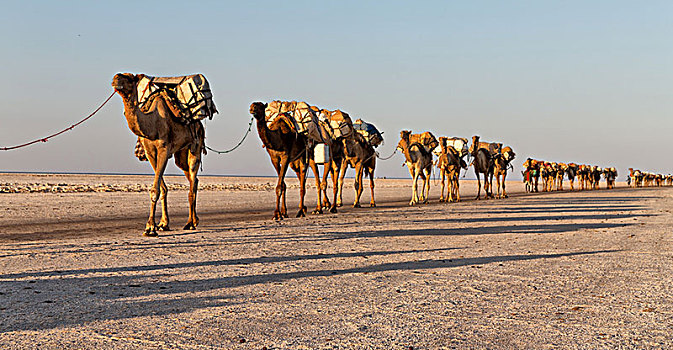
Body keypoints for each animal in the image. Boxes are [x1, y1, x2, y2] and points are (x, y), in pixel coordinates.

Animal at [111, 72, 205, 237]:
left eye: (130, 78)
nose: (116, 78)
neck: (152, 123)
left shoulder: (163, 149)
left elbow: (155, 189)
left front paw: (150, 228)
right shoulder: (150, 153)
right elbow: (162, 189)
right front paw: (162, 224)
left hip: (195, 146)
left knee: (192, 182)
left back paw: (190, 223)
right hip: (181, 155)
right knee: (193, 178)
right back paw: (194, 221)